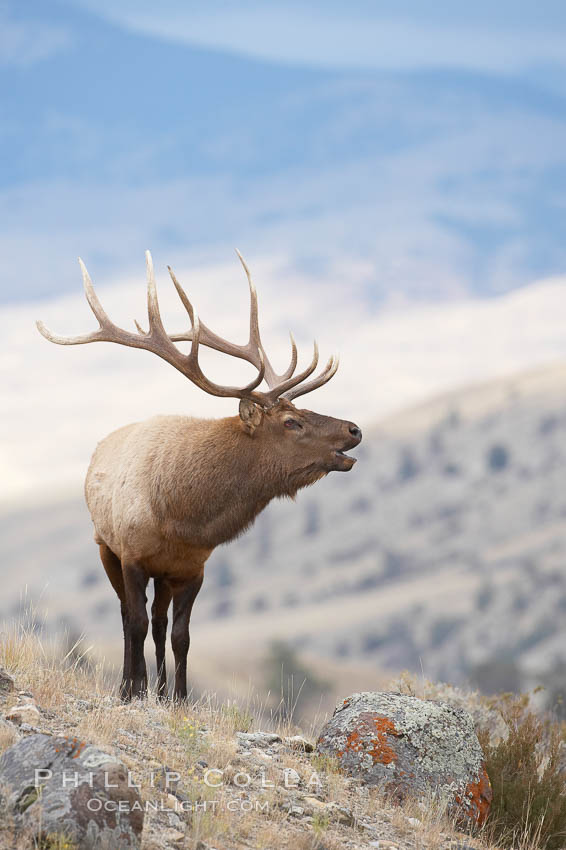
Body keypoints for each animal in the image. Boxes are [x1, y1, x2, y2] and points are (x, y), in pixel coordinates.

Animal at [37, 250, 362, 696]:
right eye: (292, 421)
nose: (354, 429)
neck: (181, 516)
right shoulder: (132, 556)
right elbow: (134, 622)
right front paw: (133, 689)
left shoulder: (193, 568)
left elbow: (181, 636)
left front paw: (178, 697)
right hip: (105, 546)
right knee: (127, 616)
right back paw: (131, 684)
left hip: (162, 574)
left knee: (158, 622)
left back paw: (157, 689)